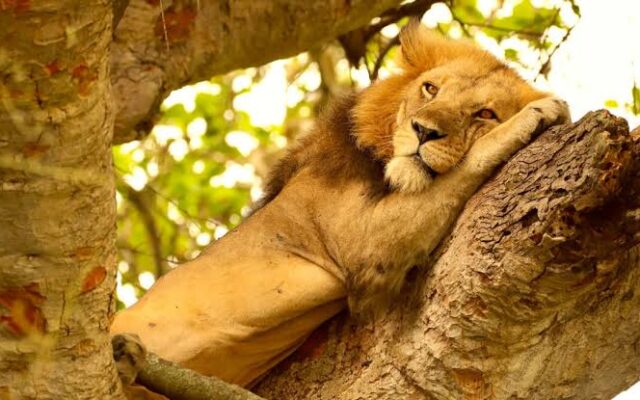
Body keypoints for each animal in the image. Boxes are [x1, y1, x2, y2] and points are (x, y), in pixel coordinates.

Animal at [111, 23, 570, 390]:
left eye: (485, 113)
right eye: (431, 88)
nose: (423, 131)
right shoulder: (363, 246)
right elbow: (469, 163)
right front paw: (541, 111)